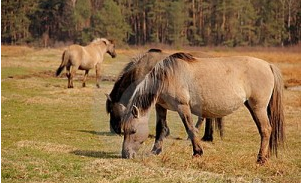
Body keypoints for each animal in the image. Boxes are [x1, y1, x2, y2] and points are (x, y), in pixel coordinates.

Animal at [118, 51, 284, 164]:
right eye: (124, 130)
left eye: (133, 131)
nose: (125, 154)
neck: (168, 76)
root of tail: (268, 65)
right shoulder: (161, 107)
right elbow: (161, 129)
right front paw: (155, 151)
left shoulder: (182, 107)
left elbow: (190, 129)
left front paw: (197, 152)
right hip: (252, 107)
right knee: (264, 130)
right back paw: (265, 157)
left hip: (258, 107)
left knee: (265, 129)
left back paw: (261, 159)